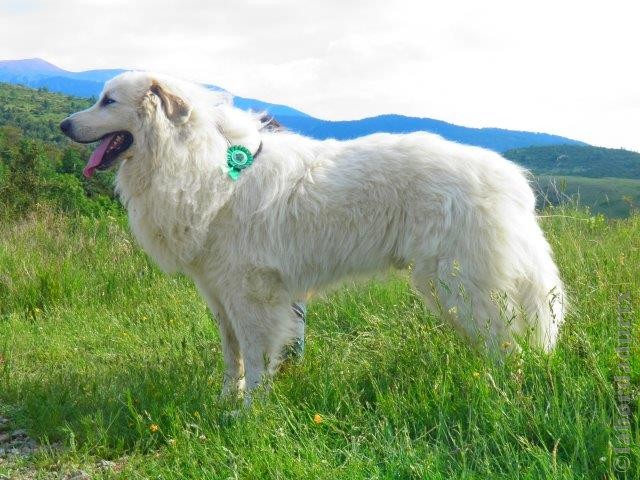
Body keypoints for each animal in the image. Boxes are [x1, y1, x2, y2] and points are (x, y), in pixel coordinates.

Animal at [61, 71, 564, 400]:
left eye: (108, 101)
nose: (64, 125)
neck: (198, 161)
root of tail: (511, 180)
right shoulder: (218, 293)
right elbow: (231, 354)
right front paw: (225, 404)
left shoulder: (252, 294)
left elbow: (255, 356)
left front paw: (250, 413)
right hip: (454, 288)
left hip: (458, 283)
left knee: (505, 342)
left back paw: (503, 392)